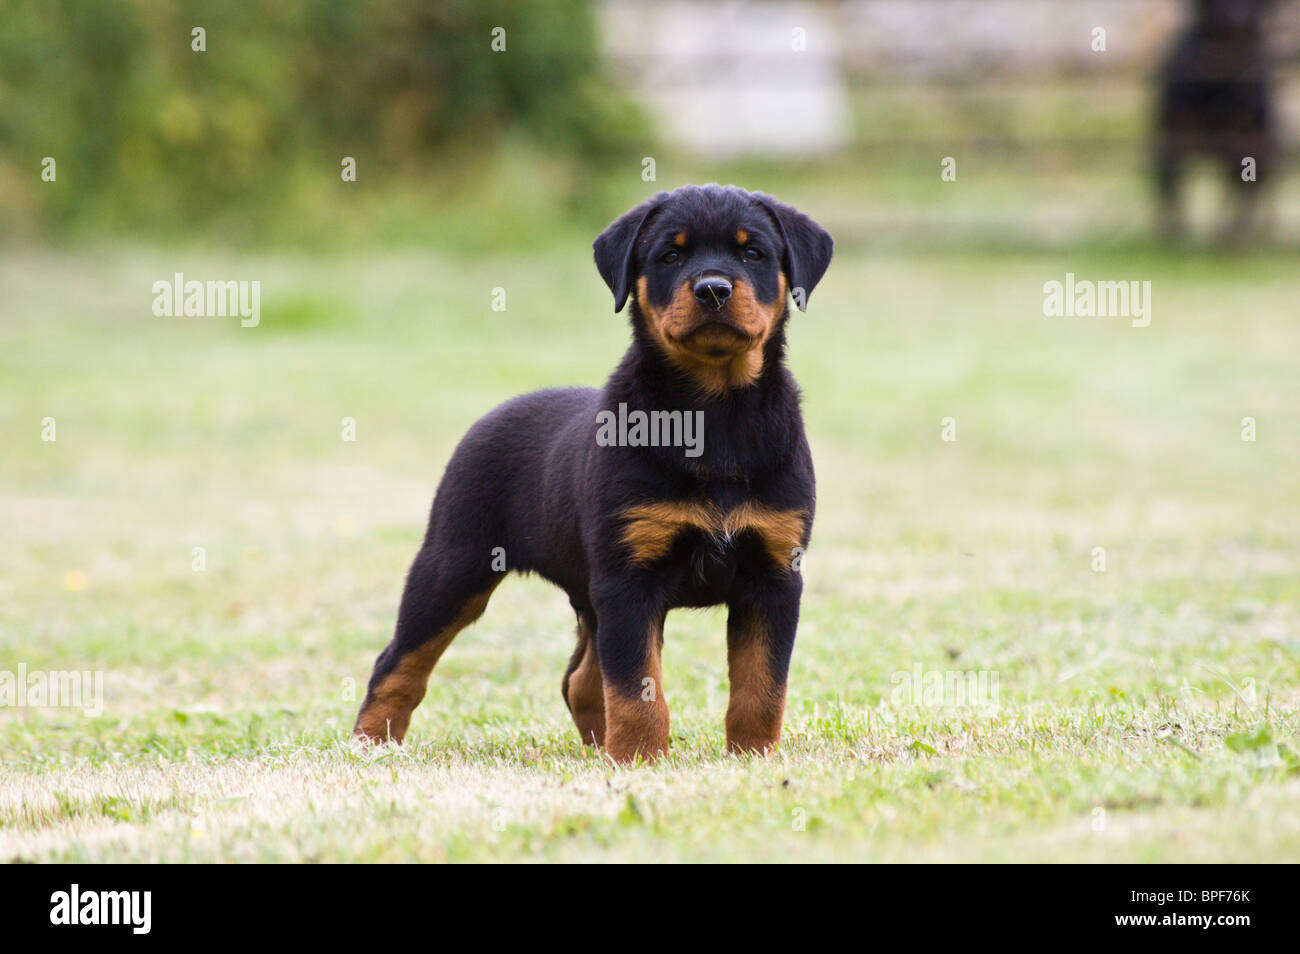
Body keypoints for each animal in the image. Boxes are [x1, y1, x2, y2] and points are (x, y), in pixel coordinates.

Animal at [353, 183, 832, 764]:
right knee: (400, 660)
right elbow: (636, 687)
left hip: (582, 588)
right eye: (669, 256)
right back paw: (370, 745)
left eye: (753, 253)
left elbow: (761, 685)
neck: (713, 411)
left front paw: (753, 757)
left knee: (580, 679)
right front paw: (640, 759)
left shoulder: (774, 574)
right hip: (454, 563)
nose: (713, 289)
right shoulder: (628, 580)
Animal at [1154, 0, 1274, 239]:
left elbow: (1241, 189)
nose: (1239, 17)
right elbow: (1170, 179)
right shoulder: (1174, 133)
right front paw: (1175, 233)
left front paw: (1230, 235)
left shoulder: (1247, 141)